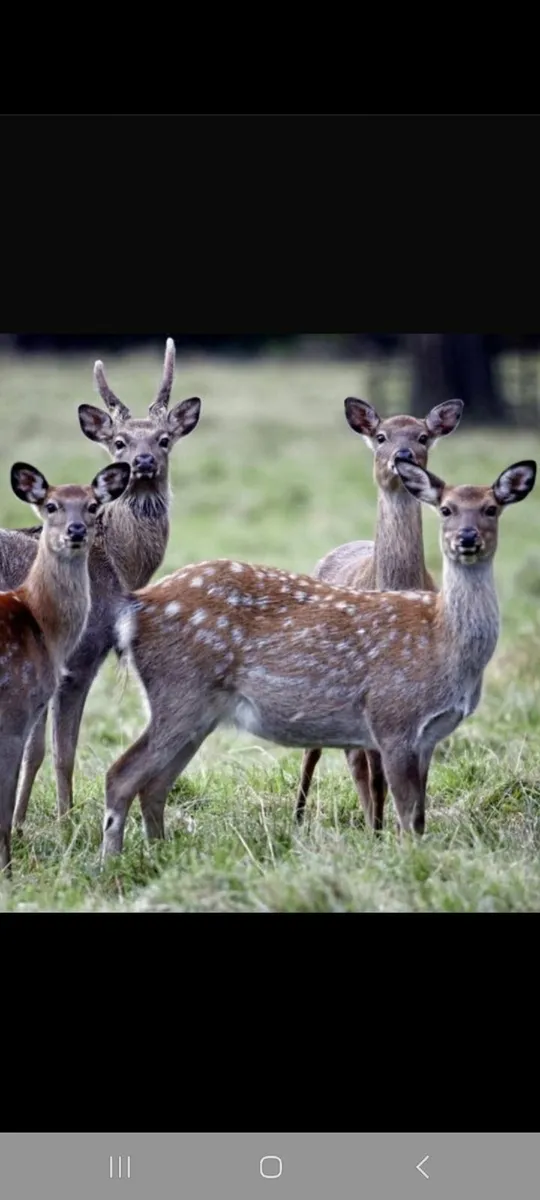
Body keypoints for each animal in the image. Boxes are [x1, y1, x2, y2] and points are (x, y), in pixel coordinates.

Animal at [0, 338, 202, 830]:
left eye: (164, 438)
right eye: (119, 441)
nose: (142, 462)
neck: (116, 565)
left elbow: (34, 749)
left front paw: (21, 822)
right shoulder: (81, 654)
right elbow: (60, 751)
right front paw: (65, 822)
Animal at [98, 456, 536, 860]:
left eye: (491, 508)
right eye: (445, 509)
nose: (467, 538)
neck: (445, 646)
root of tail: (134, 608)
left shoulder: (428, 736)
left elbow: (420, 818)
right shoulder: (392, 718)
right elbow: (407, 817)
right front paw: (410, 862)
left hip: (198, 711)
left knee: (155, 784)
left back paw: (160, 854)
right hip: (179, 691)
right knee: (121, 774)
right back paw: (111, 863)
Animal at [294, 395, 464, 831]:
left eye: (423, 436)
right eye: (382, 436)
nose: (402, 456)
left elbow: (410, 775)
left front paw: (407, 828)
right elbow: (378, 774)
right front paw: (379, 832)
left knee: (352, 755)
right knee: (315, 753)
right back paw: (299, 817)